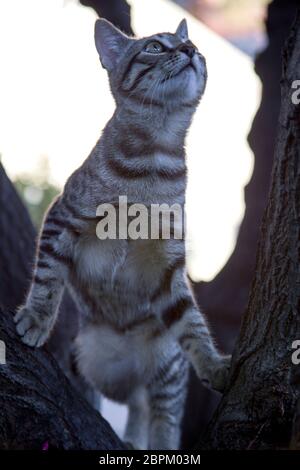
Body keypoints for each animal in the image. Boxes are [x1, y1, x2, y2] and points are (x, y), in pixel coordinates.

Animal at [14, 18, 231, 450]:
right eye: (155, 47)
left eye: (193, 44)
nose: (189, 50)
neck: (153, 160)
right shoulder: (62, 217)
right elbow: (47, 279)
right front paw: (37, 316)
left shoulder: (169, 266)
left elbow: (194, 325)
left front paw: (214, 363)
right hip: (87, 359)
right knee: (129, 401)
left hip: (166, 364)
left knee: (160, 413)